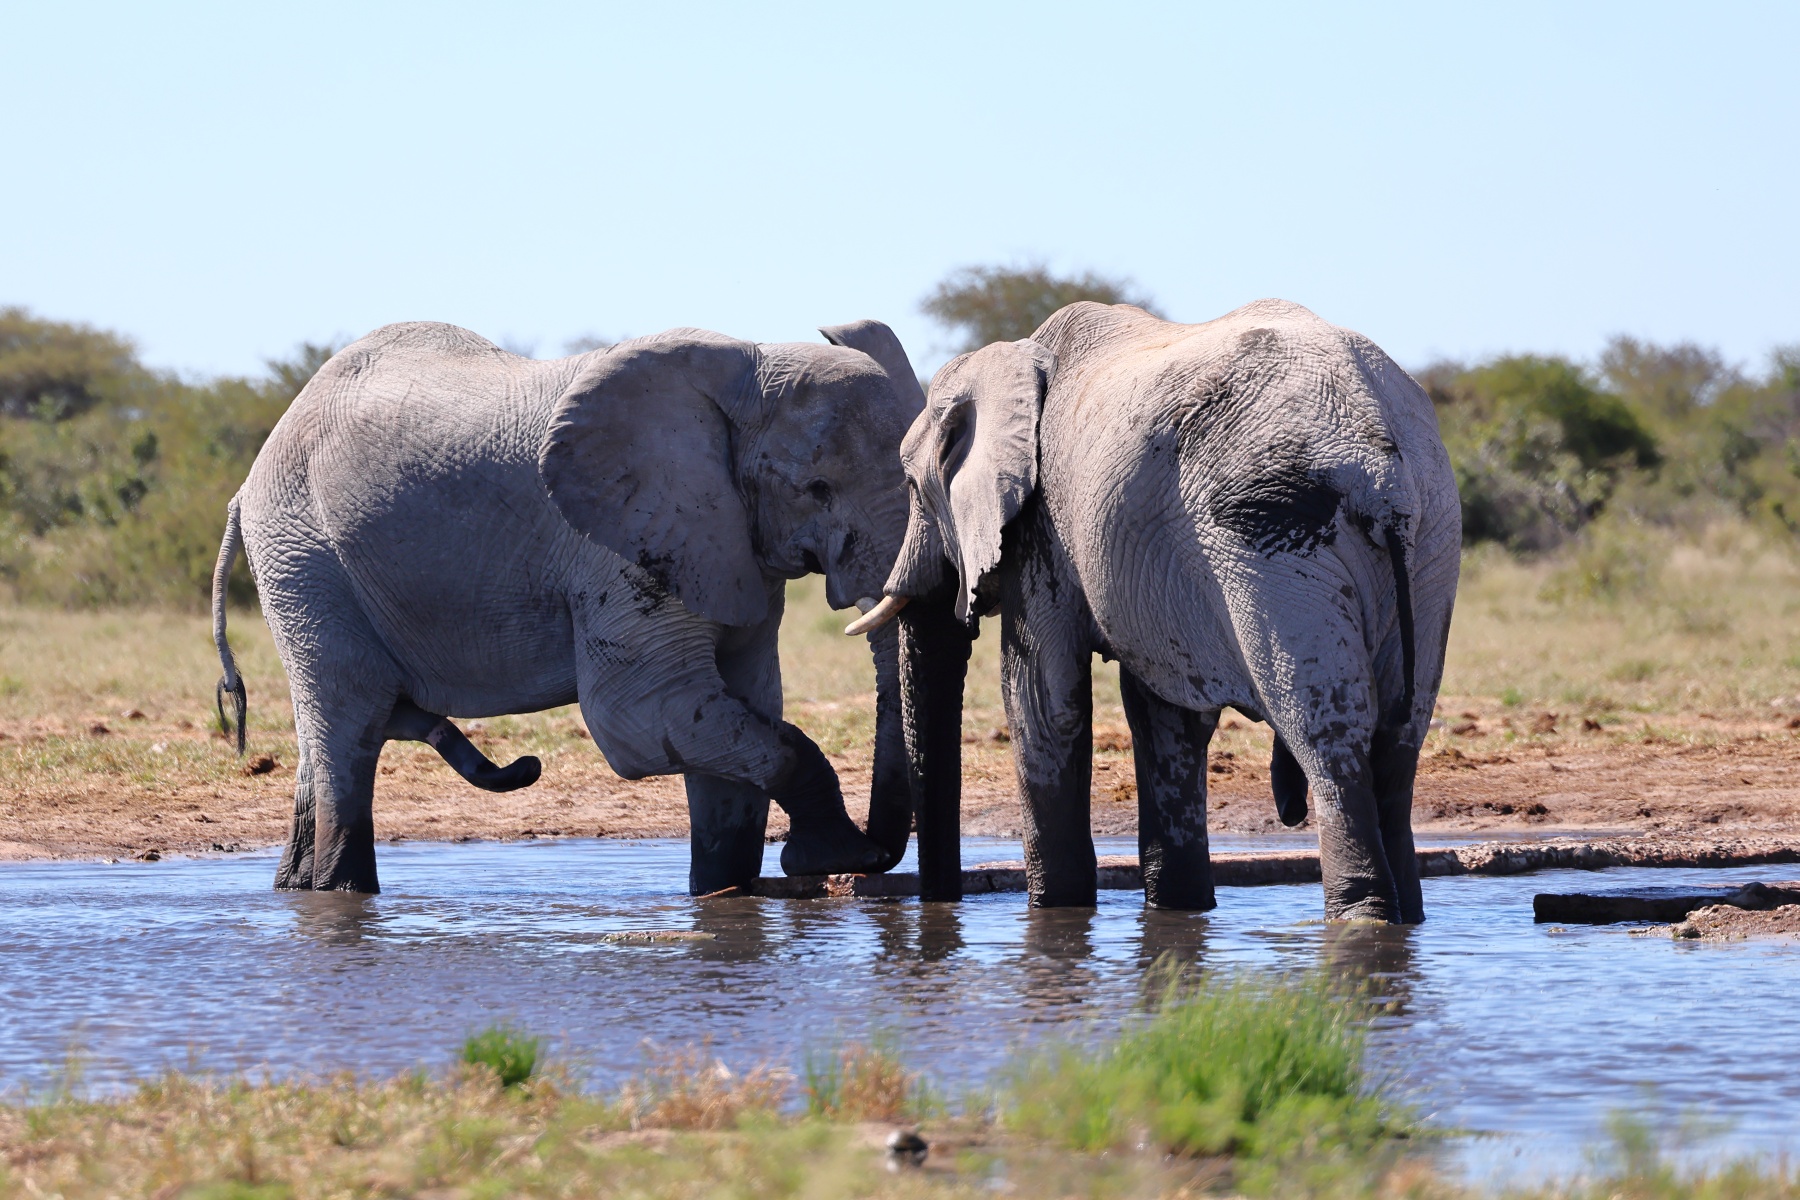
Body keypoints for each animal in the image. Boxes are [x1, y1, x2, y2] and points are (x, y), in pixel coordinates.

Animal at [210, 317, 962, 896]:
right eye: (816, 489)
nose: (880, 857)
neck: (746, 361)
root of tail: (246, 484)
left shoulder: (723, 545)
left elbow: (742, 713)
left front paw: (726, 897)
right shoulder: (617, 543)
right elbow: (640, 717)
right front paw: (830, 856)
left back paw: (299, 889)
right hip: (306, 561)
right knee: (353, 725)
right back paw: (341, 891)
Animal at [855, 299, 1460, 923]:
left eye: (910, 485)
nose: (937, 899)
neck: (1014, 359)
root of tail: (1381, 466)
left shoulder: (1044, 531)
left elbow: (1043, 704)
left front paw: (1057, 912)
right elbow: (1167, 717)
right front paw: (1179, 909)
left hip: (1275, 538)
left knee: (1327, 732)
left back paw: (1362, 918)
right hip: (1433, 540)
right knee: (1399, 739)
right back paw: (1406, 917)